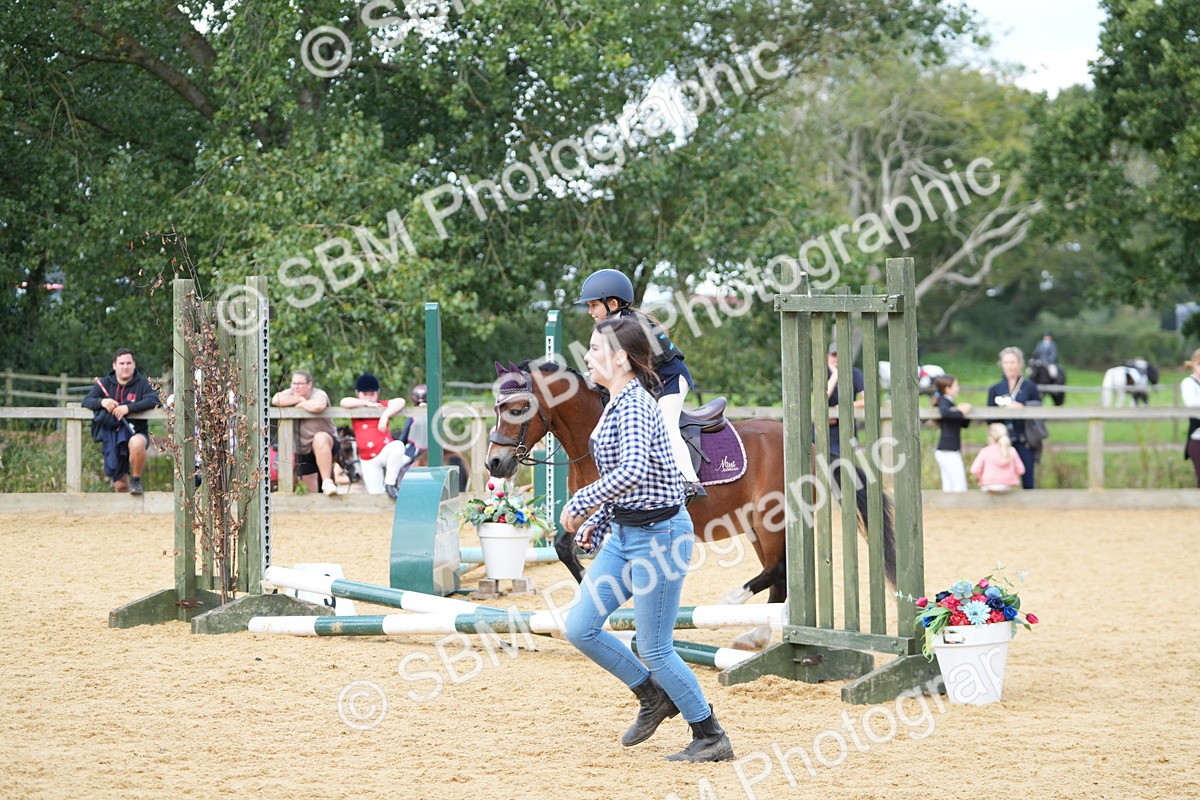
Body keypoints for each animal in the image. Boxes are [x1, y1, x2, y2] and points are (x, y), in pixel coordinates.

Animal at [484, 359, 896, 651]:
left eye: (518, 409)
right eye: (497, 407)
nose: (494, 464)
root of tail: (808, 445)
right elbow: (564, 548)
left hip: (773, 520)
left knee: (777, 570)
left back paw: (730, 608)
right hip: (757, 526)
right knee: (779, 576)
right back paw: (757, 634)